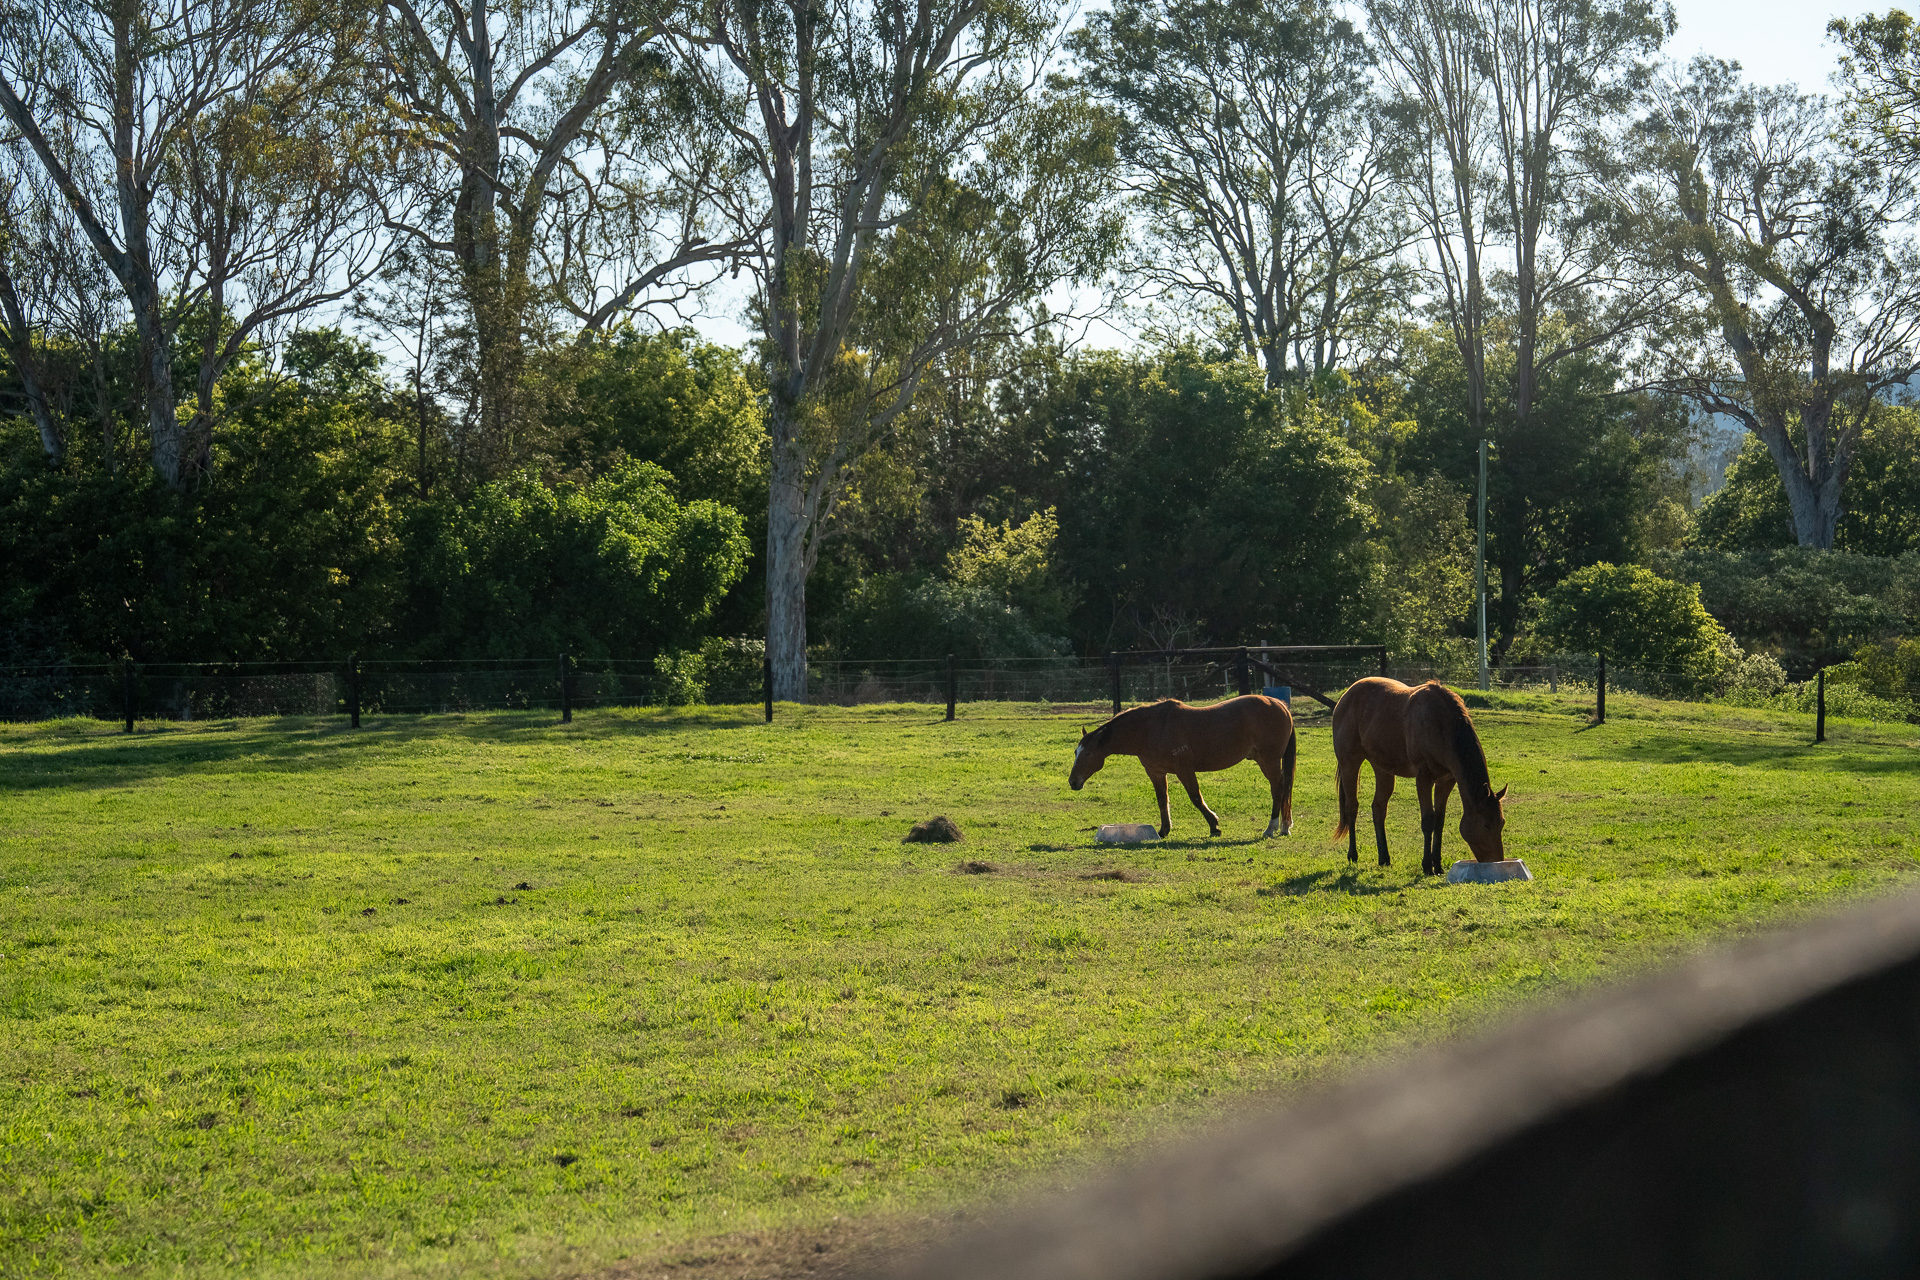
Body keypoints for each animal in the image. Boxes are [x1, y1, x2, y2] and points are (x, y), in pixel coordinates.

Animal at [1068, 695, 1297, 839]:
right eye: (1076, 752)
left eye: (1088, 754)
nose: (1073, 782)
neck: (1150, 729)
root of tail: (1279, 704)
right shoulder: (1156, 772)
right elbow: (1162, 800)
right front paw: (1163, 830)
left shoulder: (1184, 769)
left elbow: (1196, 797)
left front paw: (1214, 825)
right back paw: (1284, 827)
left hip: (1268, 761)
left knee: (1278, 789)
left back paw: (1271, 828)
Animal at [1331, 677, 1507, 874]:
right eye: (1485, 825)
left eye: (1502, 822)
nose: (1496, 861)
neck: (1441, 725)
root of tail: (1345, 696)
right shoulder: (1424, 778)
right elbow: (1428, 821)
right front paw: (1427, 865)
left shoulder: (1446, 780)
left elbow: (1439, 821)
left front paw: (1437, 865)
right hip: (1350, 763)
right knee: (1351, 808)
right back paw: (1353, 855)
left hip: (1383, 769)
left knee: (1378, 808)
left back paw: (1384, 857)